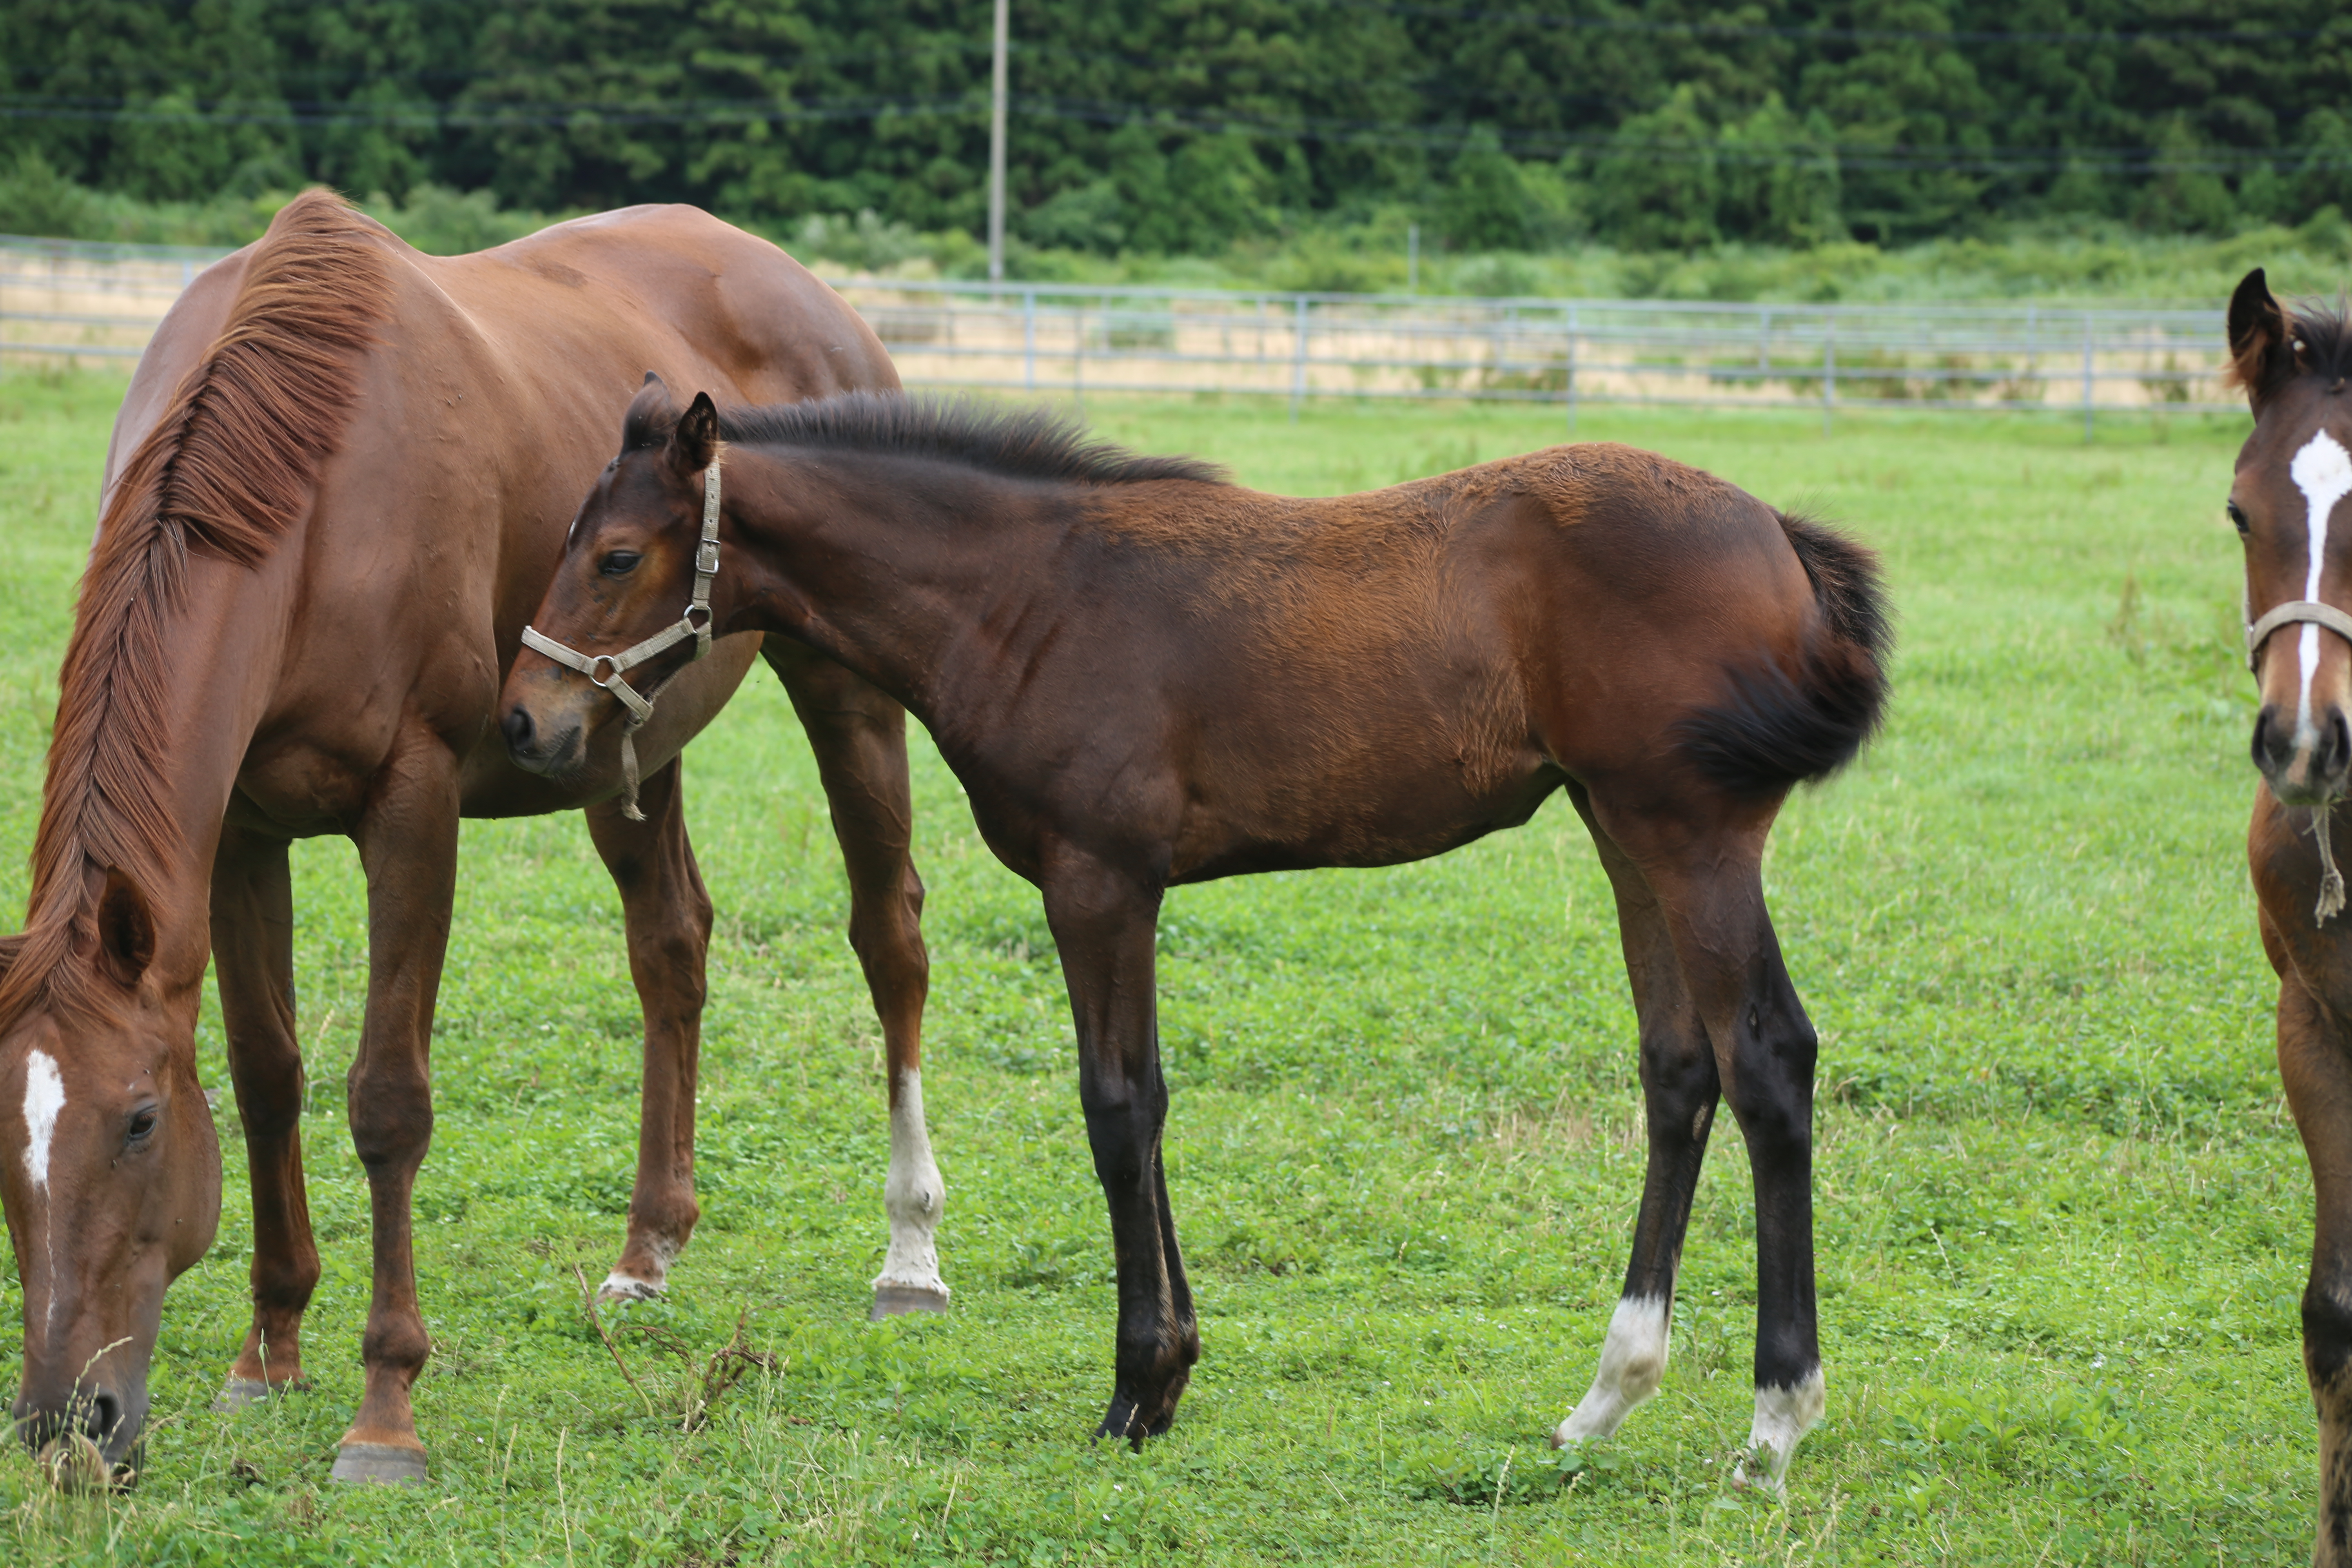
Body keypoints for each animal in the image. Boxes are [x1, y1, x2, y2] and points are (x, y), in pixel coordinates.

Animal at [0, 190, 945, 1495]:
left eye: (138, 1121)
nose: (65, 1422)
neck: (313, 487)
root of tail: (818, 297)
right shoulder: (241, 832)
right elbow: (267, 1076)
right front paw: (267, 1348)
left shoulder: (414, 807)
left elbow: (386, 1101)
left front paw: (384, 1409)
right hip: (620, 741)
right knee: (673, 948)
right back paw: (647, 1251)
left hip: (843, 693)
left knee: (887, 936)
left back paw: (910, 1258)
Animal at [501, 385, 1891, 1495]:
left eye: (616, 553)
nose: (522, 721)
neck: (1030, 595)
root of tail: (1774, 532)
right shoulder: (1132, 889)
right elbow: (1154, 1102)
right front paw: (1171, 1377)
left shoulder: (1099, 882)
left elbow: (1117, 1109)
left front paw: (1136, 1387)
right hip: (1622, 827)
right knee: (1680, 1069)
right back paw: (1605, 1397)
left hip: (1692, 831)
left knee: (1768, 1060)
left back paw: (1774, 1428)